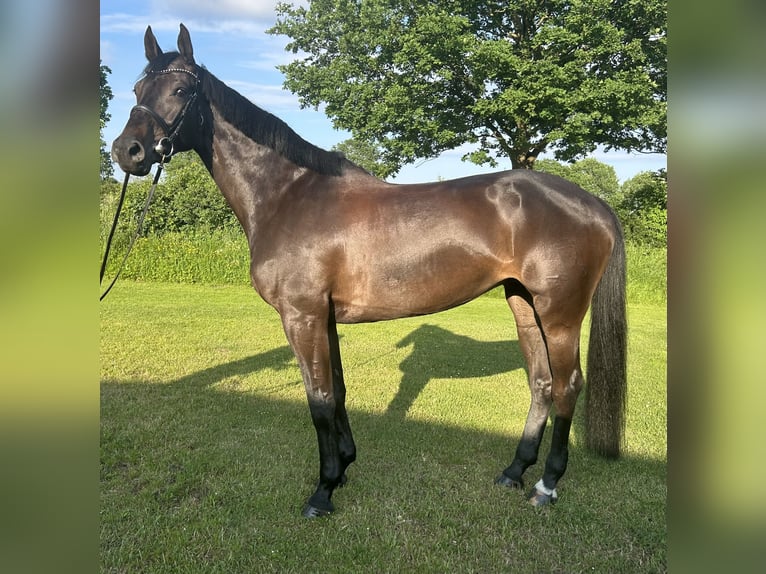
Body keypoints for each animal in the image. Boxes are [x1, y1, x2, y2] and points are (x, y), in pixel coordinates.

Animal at [114, 24, 632, 520]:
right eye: (138, 87)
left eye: (181, 89)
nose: (128, 151)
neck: (288, 195)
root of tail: (593, 203)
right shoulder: (323, 318)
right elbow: (338, 391)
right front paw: (343, 467)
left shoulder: (301, 316)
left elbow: (319, 400)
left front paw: (322, 491)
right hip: (523, 304)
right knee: (541, 383)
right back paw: (514, 471)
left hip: (560, 314)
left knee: (567, 386)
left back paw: (546, 486)